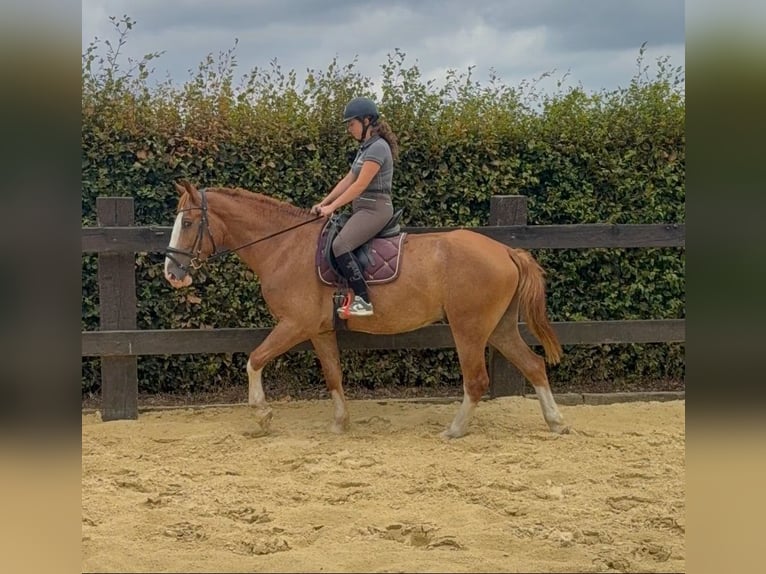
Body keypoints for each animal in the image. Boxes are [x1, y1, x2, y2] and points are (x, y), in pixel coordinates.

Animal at [163, 180, 569, 438]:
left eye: (188, 222)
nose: (172, 273)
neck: (285, 246)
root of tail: (506, 250)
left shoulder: (295, 324)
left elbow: (255, 359)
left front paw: (262, 415)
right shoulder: (320, 330)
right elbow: (333, 376)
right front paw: (340, 423)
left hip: (469, 328)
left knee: (477, 380)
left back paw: (454, 430)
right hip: (499, 327)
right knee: (534, 365)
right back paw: (556, 422)